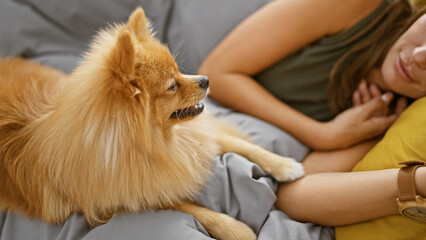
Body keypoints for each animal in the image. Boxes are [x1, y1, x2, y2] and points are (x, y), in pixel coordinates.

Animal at [1, 7, 304, 240]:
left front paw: (285, 165)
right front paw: (236, 229)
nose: (206, 79)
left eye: (179, 70)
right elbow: (188, 207)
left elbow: (244, 146)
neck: (160, 142)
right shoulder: (124, 200)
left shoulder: (197, 138)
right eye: (172, 86)